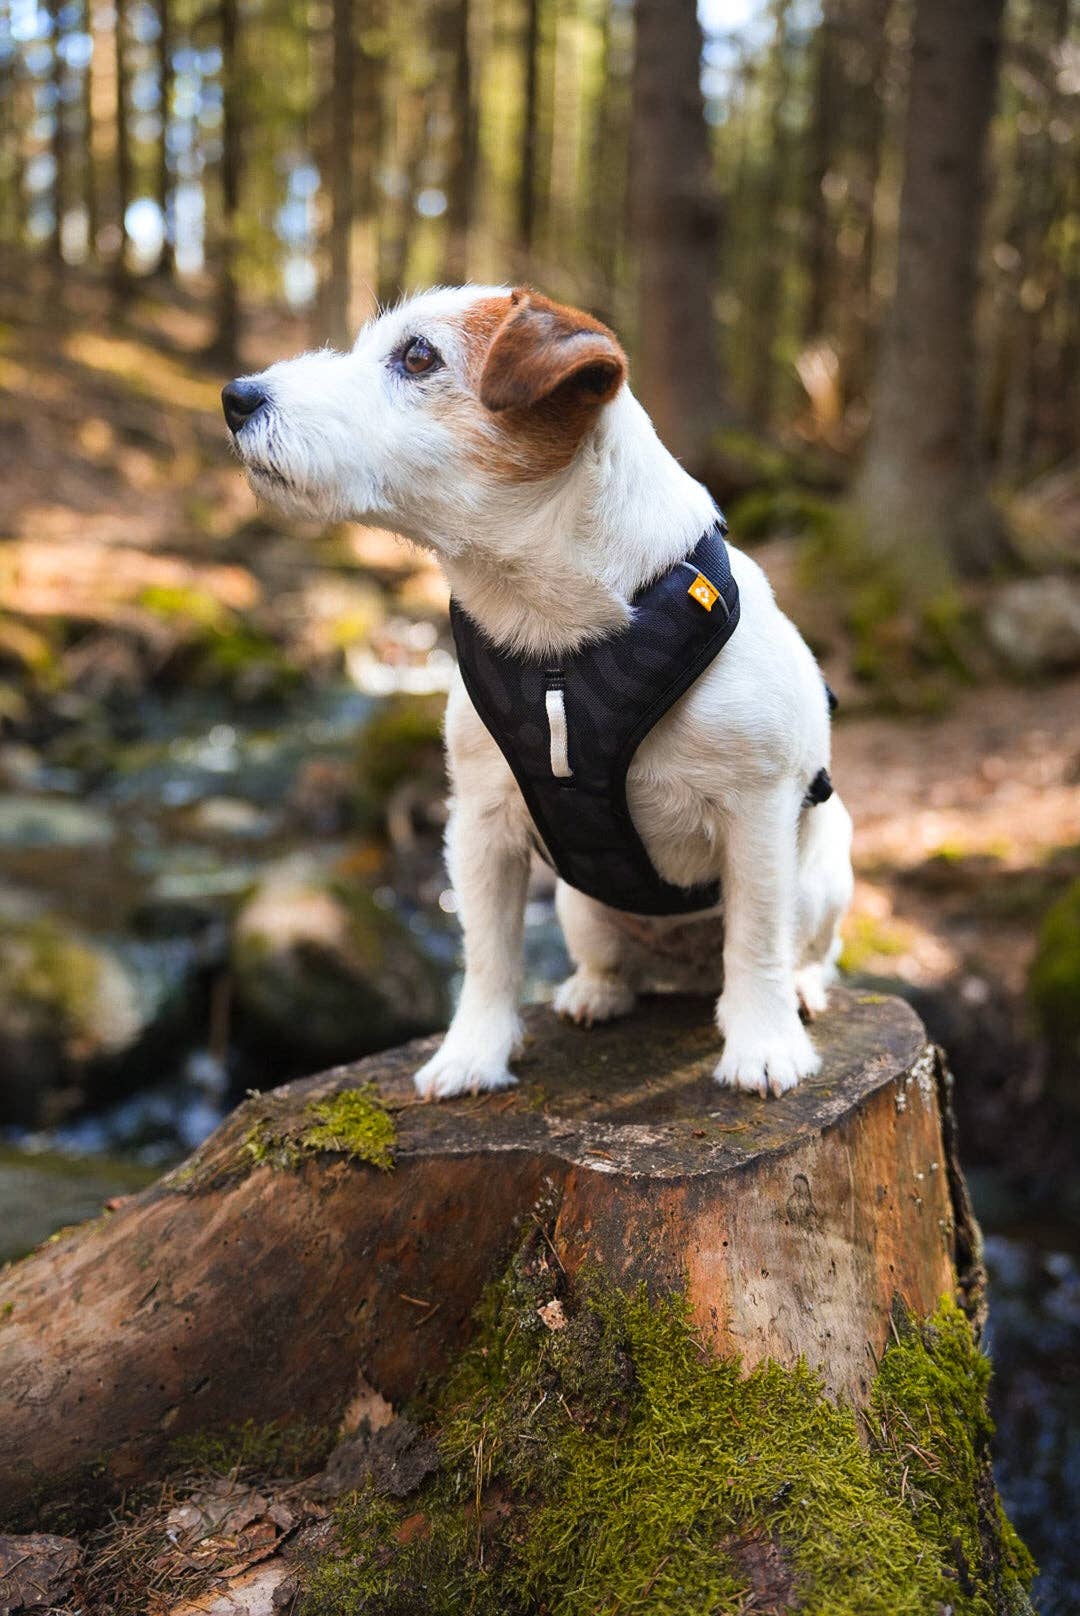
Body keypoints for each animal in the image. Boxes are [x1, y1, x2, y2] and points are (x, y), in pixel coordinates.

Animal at [223, 287, 853, 1098]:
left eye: (417, 356)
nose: (237, 397)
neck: (558, 644)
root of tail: (683, 969)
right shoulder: (482, 823)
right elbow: (488, 952)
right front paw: (473, 1053)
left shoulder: (759, 817)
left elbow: (756, 941)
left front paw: (763, 1045)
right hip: (581, 904)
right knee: (608, 958)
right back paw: (595, 990)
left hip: (821, 880)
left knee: (799, 948)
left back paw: (800, 990)